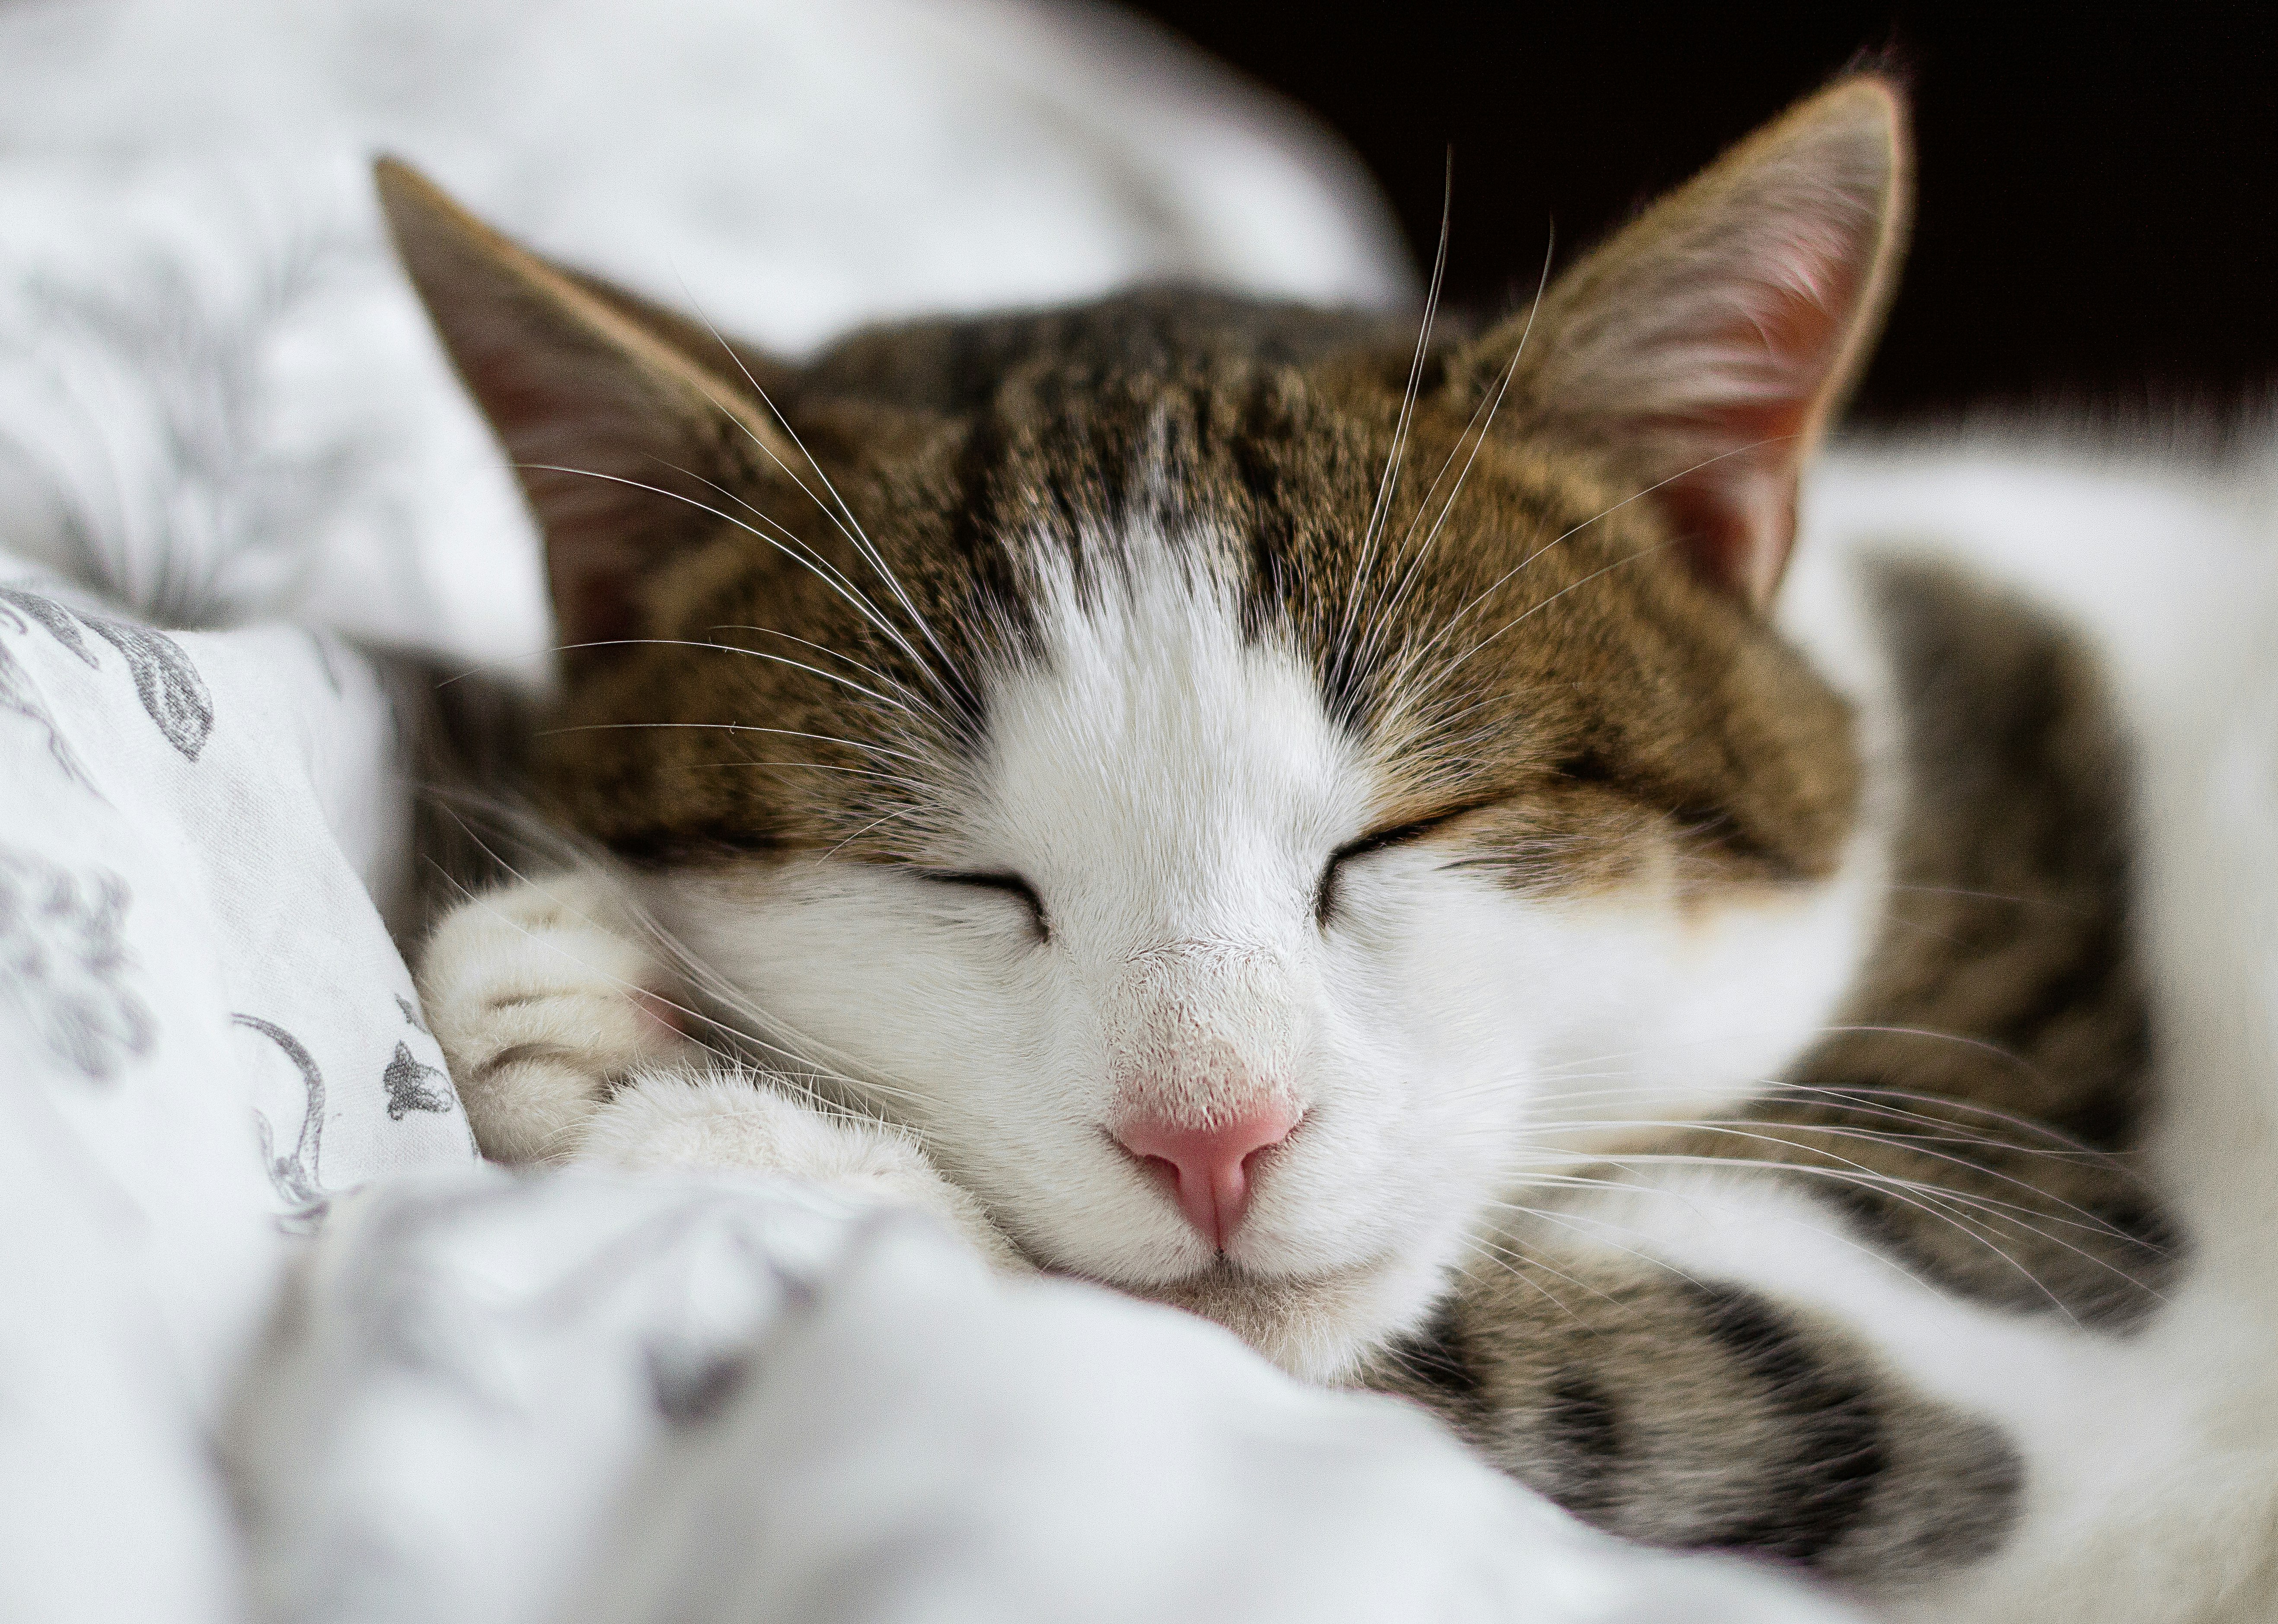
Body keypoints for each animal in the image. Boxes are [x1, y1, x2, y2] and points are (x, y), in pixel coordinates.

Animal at [392, 79, 2278, 1621]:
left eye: (1404, 833)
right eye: (955, 873)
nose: (1211, 1137)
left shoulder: (2044, 1316)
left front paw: (742, 1131)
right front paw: (588, 992)